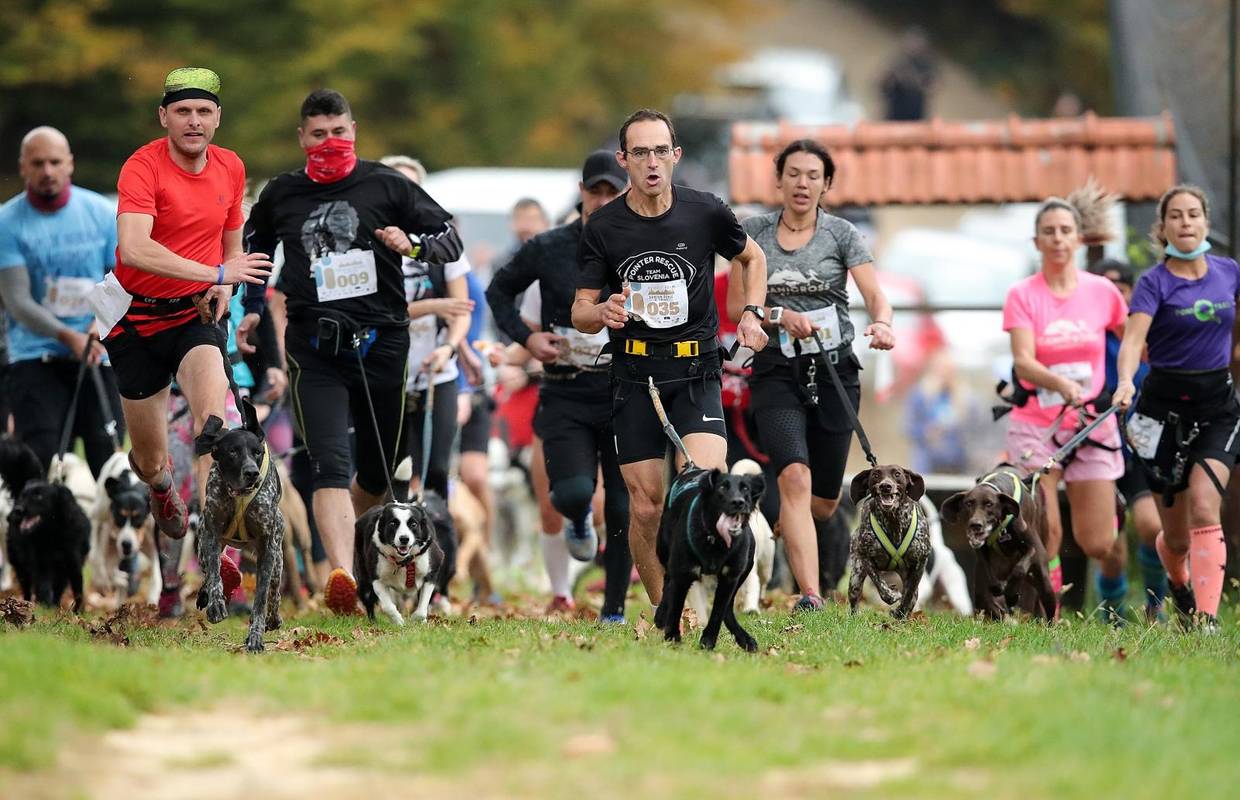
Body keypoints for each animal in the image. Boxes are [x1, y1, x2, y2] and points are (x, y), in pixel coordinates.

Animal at [1, 436, 91, 612]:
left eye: (39, 496)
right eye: (23, 495)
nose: (17, 511)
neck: (53, 532)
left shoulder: (73, 562)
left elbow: (77, 588)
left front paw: (77, 611)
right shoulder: (41, 563)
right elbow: (43, 586)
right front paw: (45, 607)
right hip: (20, 564)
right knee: (27, 586)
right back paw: (27, 603)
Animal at [193, 401, 283, 649]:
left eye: (257, 452)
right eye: (232, 451)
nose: (252, 473)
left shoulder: (268, 549)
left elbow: (261, 598)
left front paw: (255, 637)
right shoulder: (211, 534)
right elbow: (215, 573)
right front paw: (216, 605)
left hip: (278, 559)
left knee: (275, 591)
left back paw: (274, 618)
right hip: (202, 545)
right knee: (208, 569)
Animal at [352, 456, 443, 625]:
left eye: (413, 524)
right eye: (393, 523)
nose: (404, 539)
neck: (404, 562)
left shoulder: (432, 570)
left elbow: (422, 607)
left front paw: (417, 620)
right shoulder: (376, 578)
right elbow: (388, 606)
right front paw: (399, 622)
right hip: (362, 573)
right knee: (368, 598)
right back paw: (373, 622)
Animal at [654, 468, 758, 649]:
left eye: (745, 489)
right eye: (722, 487)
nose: (738, 502)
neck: (716, 540)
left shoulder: (730, 576)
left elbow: (718, 611)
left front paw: (708, 640)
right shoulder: (683, 574)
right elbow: (675, 606)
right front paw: (673, 637)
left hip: (746, 566)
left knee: (728, 608)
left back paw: (744, 638)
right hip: (664, 549)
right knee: (667, 581)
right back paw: (660, 615)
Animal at [937, 461, 1056, 617]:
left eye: (989, 504)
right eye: (968, 503)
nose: (976, 525)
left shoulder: (1033, 548)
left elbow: (1020, 568)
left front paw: (1011, 595)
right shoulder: (981, 551)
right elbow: (989, 573)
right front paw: (999, 589)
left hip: (1045, 584)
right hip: (981, 593)